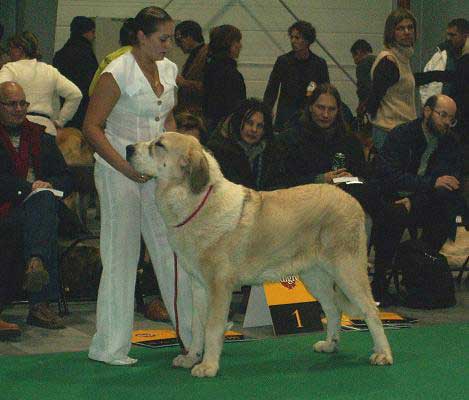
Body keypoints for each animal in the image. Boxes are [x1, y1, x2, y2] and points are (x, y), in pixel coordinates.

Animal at [126, 132, 394, 378]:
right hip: (314, 277)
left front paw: (208, 366)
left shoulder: (218, 287)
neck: (197, 202)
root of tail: (349, 198)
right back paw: (330, 345)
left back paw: (383, 354)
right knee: (332, 309)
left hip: (347, 270)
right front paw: (191, 357)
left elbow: (212, 328)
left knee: (370, 310)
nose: (128, 148)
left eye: (159, 145)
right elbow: (197, 326)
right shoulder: (199, 286)